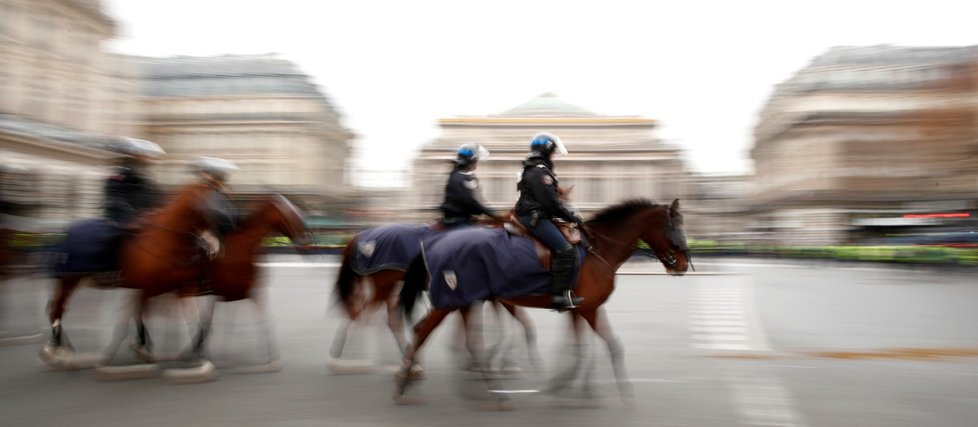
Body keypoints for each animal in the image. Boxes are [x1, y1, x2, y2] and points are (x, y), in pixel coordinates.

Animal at [392, 199, 692, 406]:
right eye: (675, 227)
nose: (683, 265)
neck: (598, 250)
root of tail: (435, 242)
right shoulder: (587, 309)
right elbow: (606, 344)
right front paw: (612, 390)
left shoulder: (581, 308)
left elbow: (583, 346)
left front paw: (575, 385)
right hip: (454, 300)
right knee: (426, 333)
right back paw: (407, 384)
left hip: (464, 300)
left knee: (455, 338)